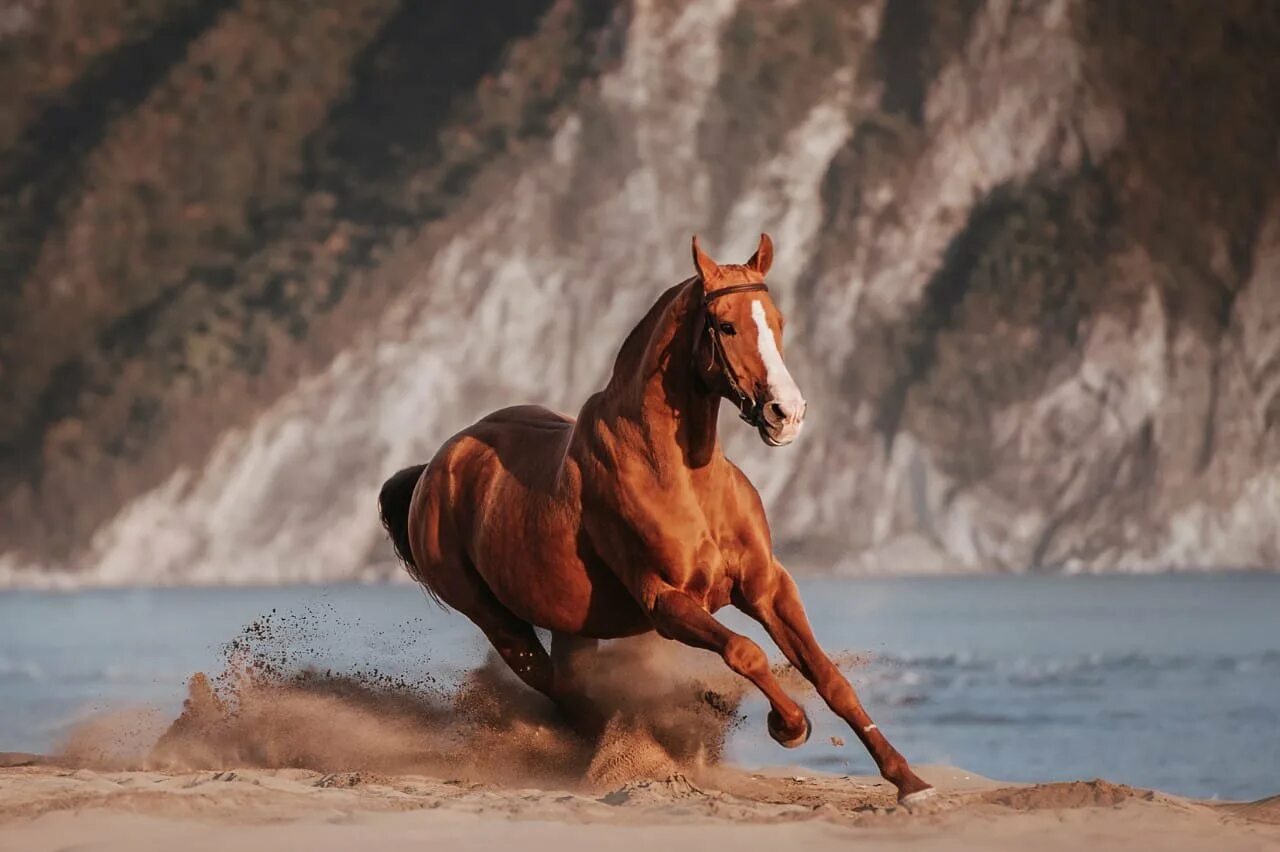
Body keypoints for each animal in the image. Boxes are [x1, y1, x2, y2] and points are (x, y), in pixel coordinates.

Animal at [373, 234, 936, 803]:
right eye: (726, 326)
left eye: (778, 321)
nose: (787, 414)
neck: (680, 476)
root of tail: (434, 470)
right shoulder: (666, 601)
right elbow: (745, 651)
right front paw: (789, 725)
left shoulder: (767, 585)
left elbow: (829, 677)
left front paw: (908, 781)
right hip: (496, 620)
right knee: (555, 687)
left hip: (571, 623)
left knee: (570, 684)